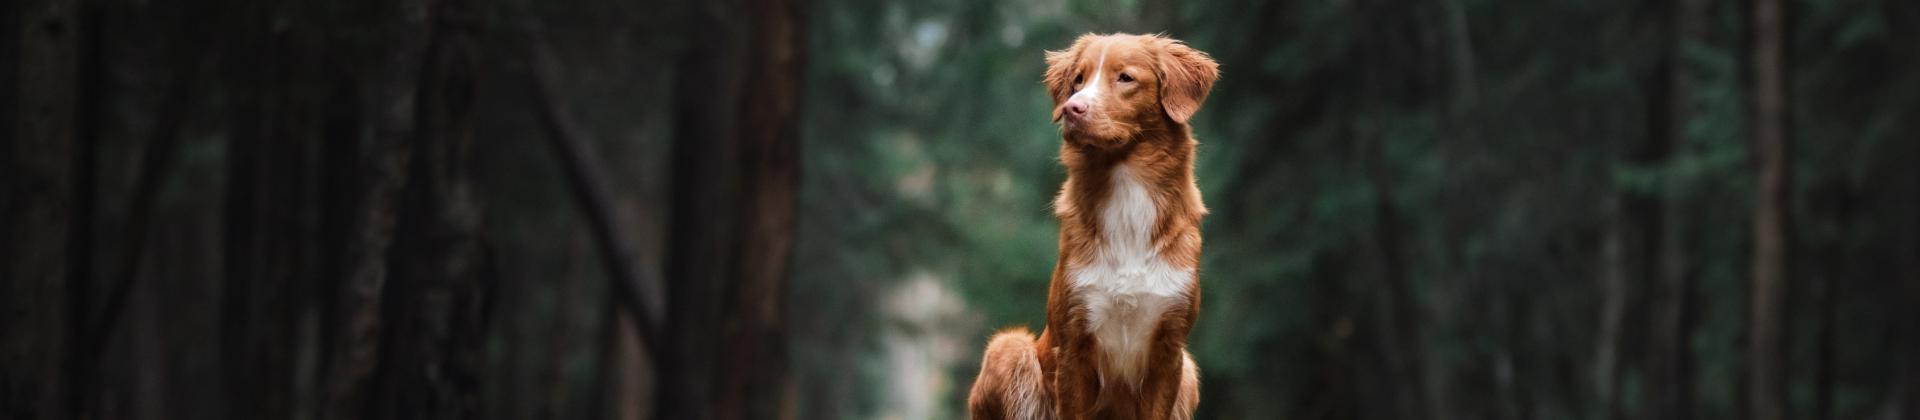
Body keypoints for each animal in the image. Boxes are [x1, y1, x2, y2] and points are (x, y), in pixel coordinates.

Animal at [967, 32, 1221, 420]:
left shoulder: (1170, 347)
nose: (1073, 108)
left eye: (1125, 78)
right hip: (1008, 347)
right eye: (1078, 80)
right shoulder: (1075, 341)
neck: (1127, 190)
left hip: (1190, 370)